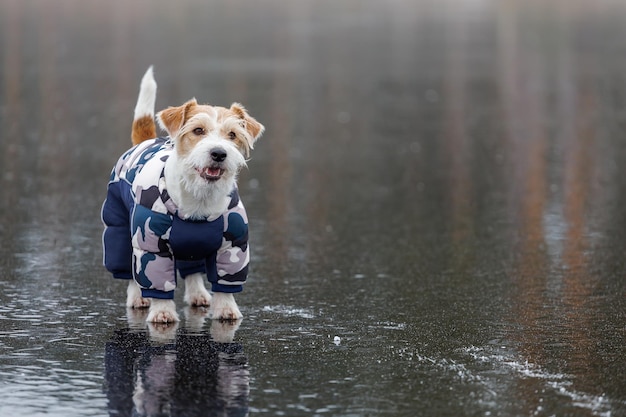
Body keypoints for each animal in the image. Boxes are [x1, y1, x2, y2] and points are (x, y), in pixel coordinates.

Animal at [101, 66, 262, 324]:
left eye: (233, 134)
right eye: (198, 130)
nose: (219, 153)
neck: (200, 197)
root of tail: (145, 140)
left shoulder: (232, 246)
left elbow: (225, 283)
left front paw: (226, 308)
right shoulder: (152, 247)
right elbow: (156, 281)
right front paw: (162, 311)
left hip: (192, 244)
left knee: (192, 270)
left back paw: (198, 294)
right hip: (120, 230)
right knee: (129, 268)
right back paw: (138, 297)